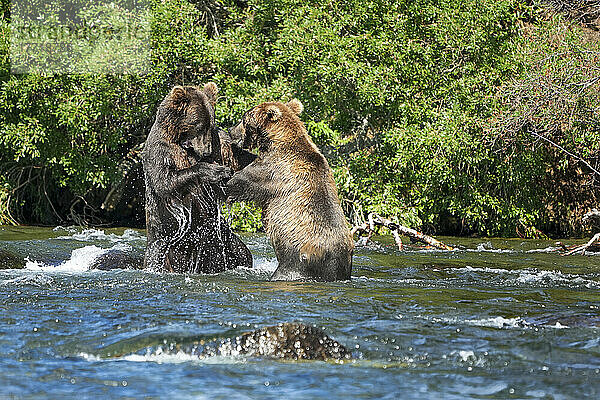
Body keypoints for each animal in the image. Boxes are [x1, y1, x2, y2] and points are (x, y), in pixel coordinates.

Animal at [144, 83, 252, 274]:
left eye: (211, 124)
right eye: (199, 125)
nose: (207, 151)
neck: (182, 143)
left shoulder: (219, 144)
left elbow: (235, 157)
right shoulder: (161, 150)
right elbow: (165, 182)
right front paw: (216, 171)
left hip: (218, 237)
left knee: (241, 252)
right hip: (163, 242)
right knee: (155, 257)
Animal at [227, 99, 354, 282]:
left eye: (244, 118)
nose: (230, 130)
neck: (276, 141)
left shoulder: (272, 170)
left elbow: (239, 181)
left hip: (295, 260)